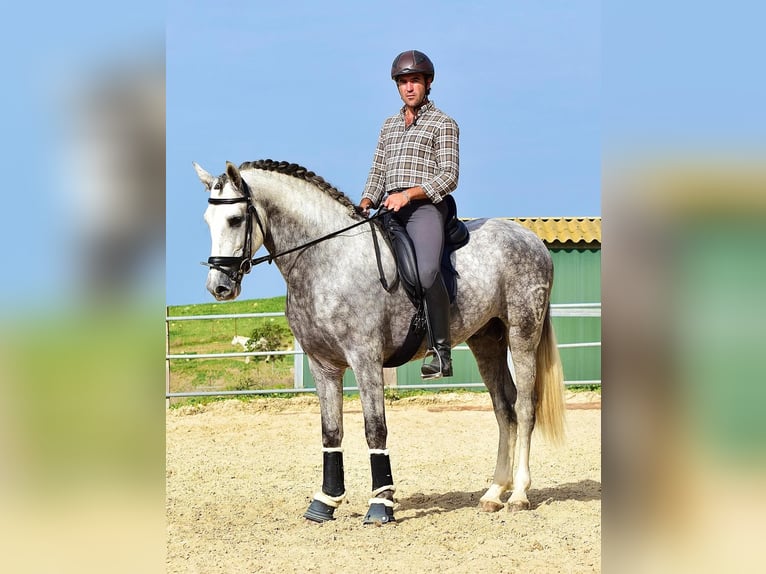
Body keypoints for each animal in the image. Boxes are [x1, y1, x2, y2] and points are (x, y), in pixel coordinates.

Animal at [193, 159, 566, 524]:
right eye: (207, 221)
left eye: (235, 219)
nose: (219, 287)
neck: (328, 259)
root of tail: (530, 238)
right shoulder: (323, 365)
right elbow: (331, 431)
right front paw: (325, 502)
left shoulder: (365, 359)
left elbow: (375, 428)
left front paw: (381, 503)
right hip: (486, 340)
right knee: (504, 410)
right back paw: (493, 493)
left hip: (522, 332)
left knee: (525, 407)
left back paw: (518, 495)